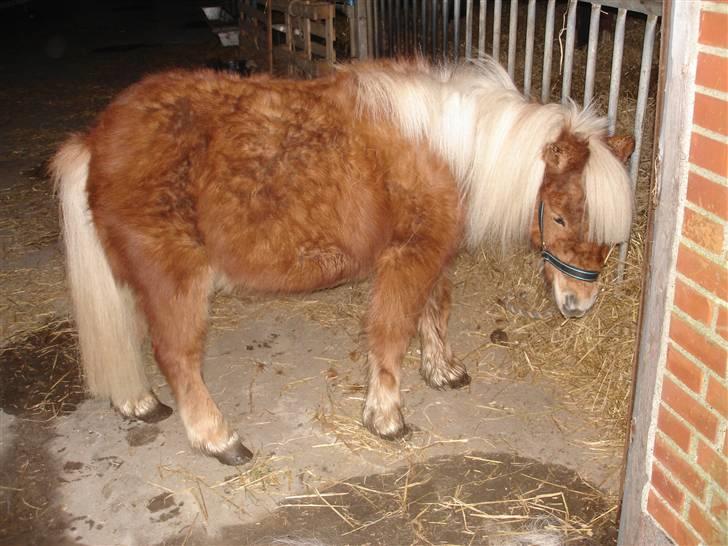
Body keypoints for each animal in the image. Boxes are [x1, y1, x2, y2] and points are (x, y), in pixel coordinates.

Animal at [51, 57, 636, 462]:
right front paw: (387, 417)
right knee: (176, 356)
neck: (448, 153)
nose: (579, 304)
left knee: (126, 333)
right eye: (559, 218)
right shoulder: (408, 258)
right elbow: (393, 332)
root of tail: (97, 139)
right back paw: (219, 439)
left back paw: (136, 402)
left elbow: (436, 311)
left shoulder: (434, 254)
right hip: (174, 278)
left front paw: (442, 371)